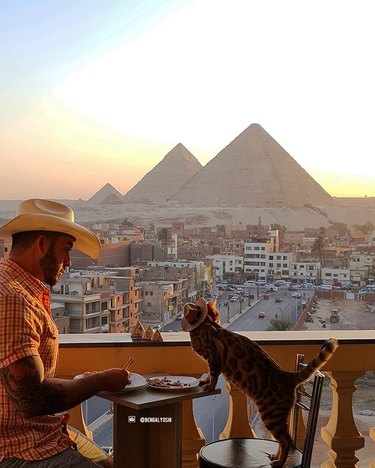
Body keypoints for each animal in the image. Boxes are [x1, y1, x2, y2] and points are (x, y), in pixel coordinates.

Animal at [184, 298, 340, 466]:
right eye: (217, 314)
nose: (219, 319)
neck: (205, 324)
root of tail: (287, 376)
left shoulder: (214, 359)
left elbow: (213, 375)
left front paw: (210, 385)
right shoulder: (212, 361)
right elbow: (208, 373)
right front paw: (204, 381)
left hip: (271, 414)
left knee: (287, 440)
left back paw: (280, 462)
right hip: (278, 416)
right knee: (283, 440)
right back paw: (275, 457)